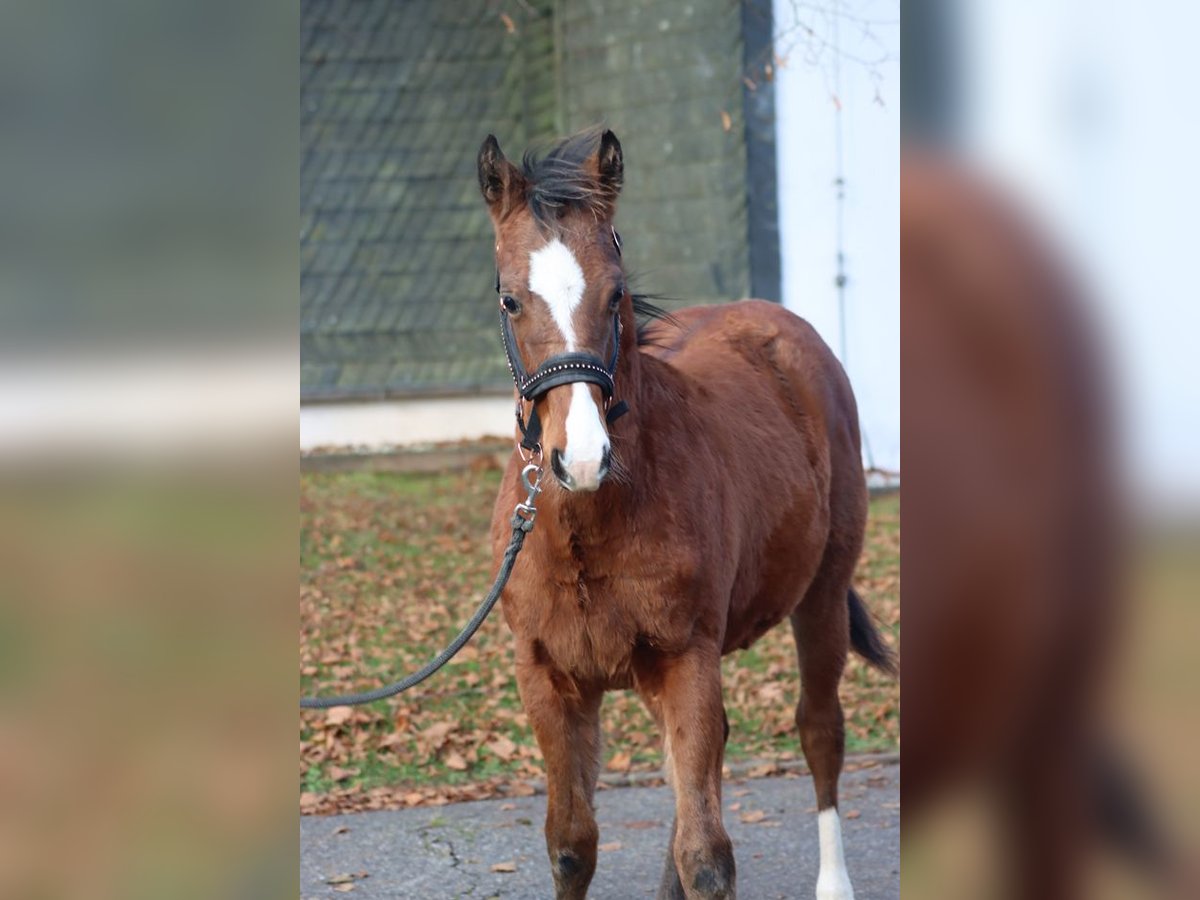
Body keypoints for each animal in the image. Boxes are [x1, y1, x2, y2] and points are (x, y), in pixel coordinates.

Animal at [477, 128, 896, 900]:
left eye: (615, 293)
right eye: (511, 300)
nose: (581, 457)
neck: (588, 528)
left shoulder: (685, 658)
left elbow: (707, 856)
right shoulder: (547, 674)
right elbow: (572, 844)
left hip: (819, 599)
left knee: (819, 730)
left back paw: (834, 880)